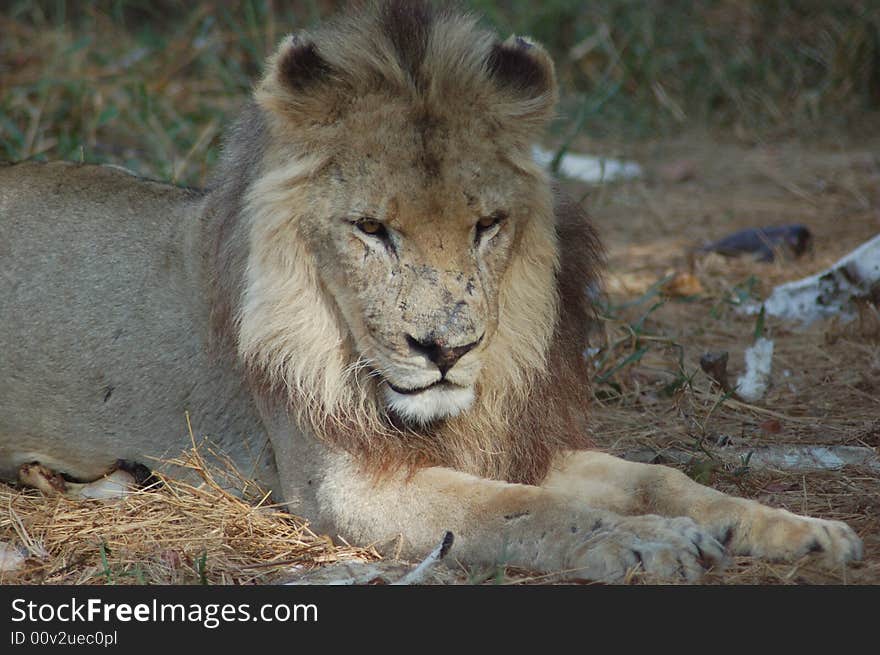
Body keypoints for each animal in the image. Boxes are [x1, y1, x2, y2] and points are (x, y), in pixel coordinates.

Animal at [0, 0, 864, 584]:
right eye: (372, 229)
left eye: (486, 225)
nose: (445, 349)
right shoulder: (344, 487)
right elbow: (510, 509)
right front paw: (645, 540)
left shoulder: (512, 440)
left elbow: (662, 478)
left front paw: (805, 530)